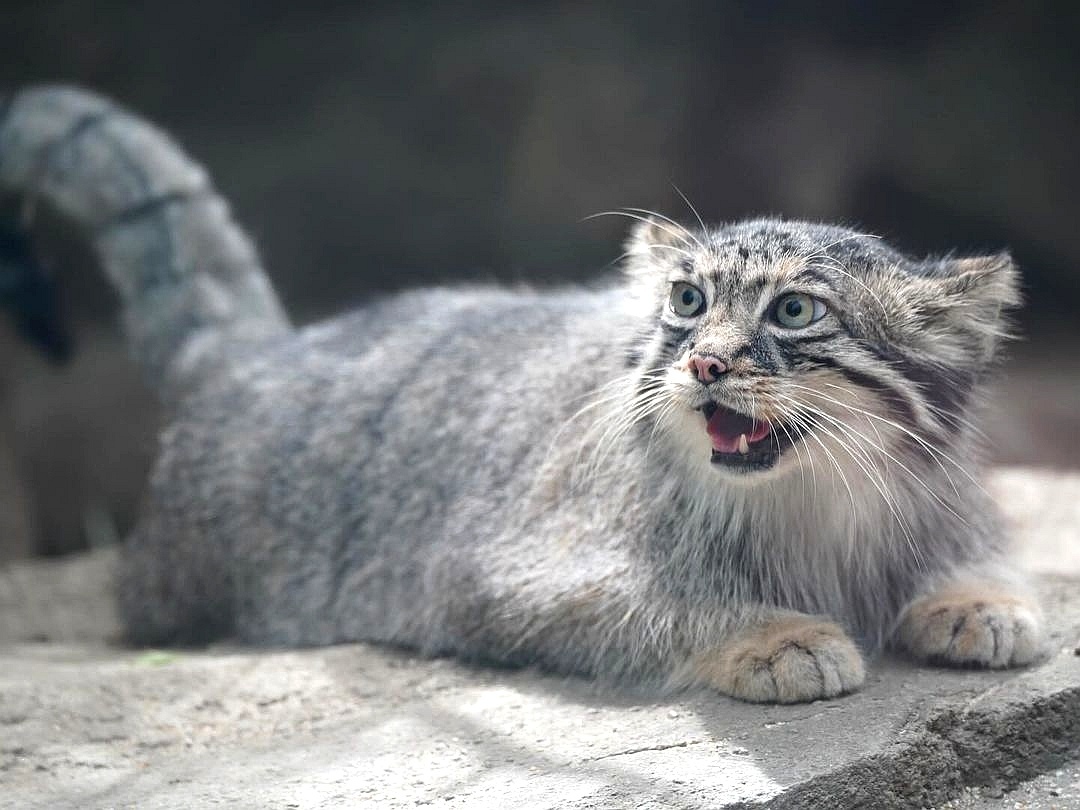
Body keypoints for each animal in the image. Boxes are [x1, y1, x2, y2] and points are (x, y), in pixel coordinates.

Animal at [0, 87, 1045, 704]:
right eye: (688, 301)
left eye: (794, 309)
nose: (704, 364)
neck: (814, 502)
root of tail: (266, 350)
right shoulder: (499, 580)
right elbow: (665, 602)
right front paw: (775, 637)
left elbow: (977, 555)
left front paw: (980, 600)